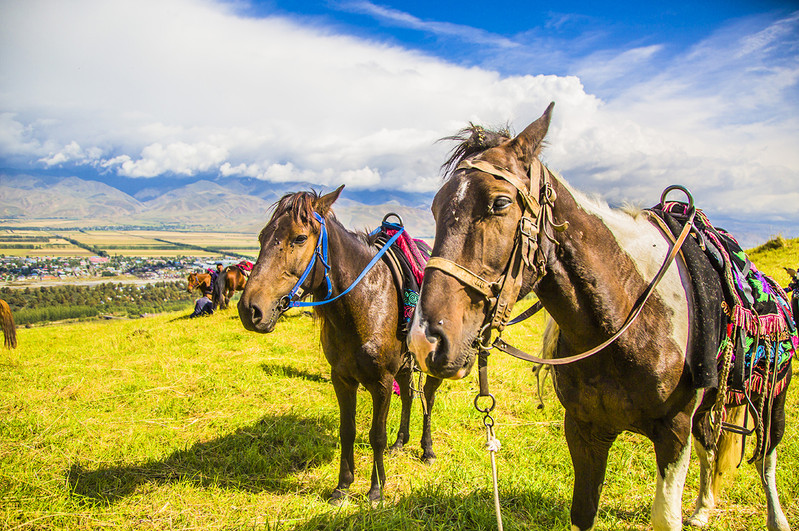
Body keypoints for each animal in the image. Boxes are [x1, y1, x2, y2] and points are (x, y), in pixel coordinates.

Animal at [412, 104, 792, 531]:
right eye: (435, 208)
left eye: (500, 203)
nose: (424, 340)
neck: (626, 321)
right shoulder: (584, 429)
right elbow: (583, 512)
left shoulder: (674, 432)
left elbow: (665, 516)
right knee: (710, 444)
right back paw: (702, 507)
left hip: (772, 398)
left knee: (766, 459)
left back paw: (775, 517)